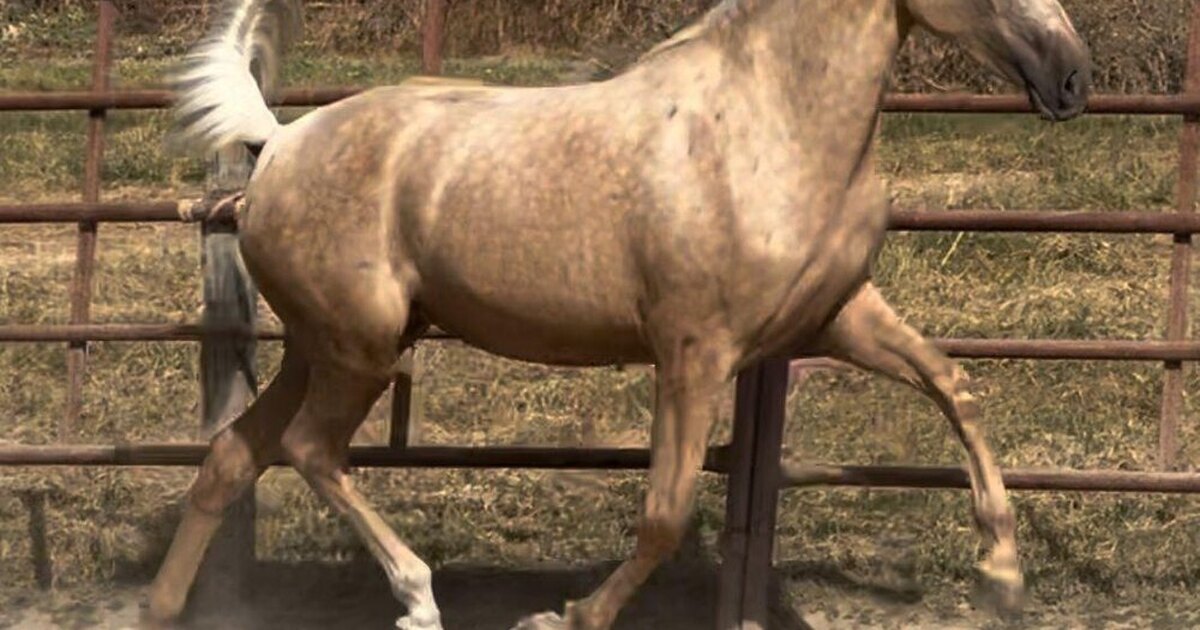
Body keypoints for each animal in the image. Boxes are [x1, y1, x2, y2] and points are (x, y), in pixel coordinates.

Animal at [146, 0, 1089, 628]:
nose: (1071, 78)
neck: (770, 125)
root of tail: (277, 146)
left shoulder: (839, 318)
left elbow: (954, 385)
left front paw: (1002, 574)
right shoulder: (694, 351)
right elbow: (664, 514)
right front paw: (567, 616)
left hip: (324, 346)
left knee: (234, 456)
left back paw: (160, 605)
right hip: (360, 348)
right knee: (310, 451)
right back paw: (417, 598)